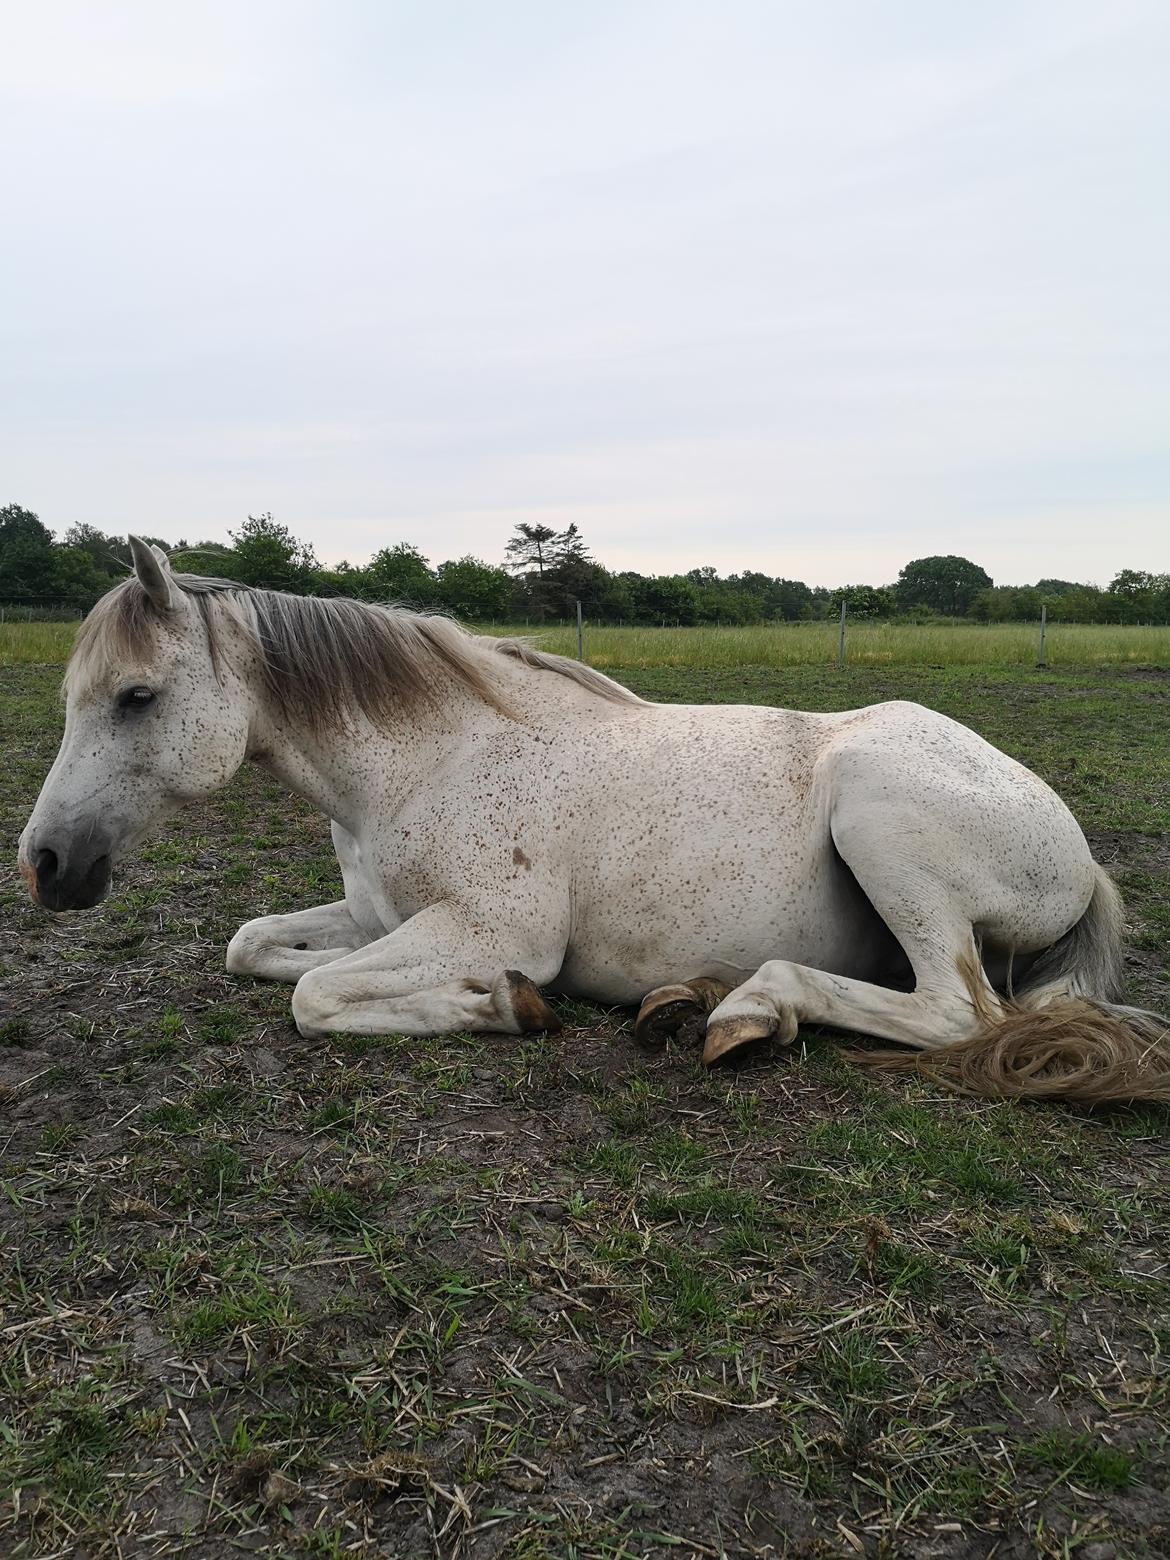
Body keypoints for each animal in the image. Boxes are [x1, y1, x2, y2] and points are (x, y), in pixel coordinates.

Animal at [18, 542, 1170, 1104]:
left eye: (134, 697)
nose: (47, 864)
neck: (431, 759)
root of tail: (1079, 856)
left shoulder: (494, 928)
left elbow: (315, 995)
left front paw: (500, 1006)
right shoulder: (376, 913)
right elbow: (252, 946)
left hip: (880, 821)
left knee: (956, 1013)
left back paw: (749, 1009)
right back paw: (690, 1002)